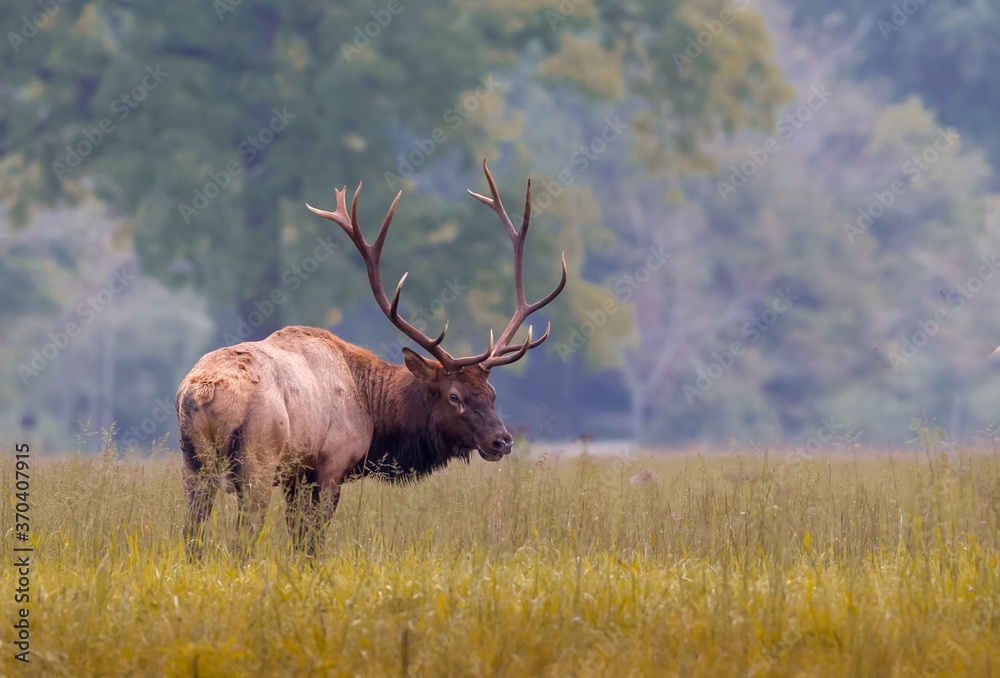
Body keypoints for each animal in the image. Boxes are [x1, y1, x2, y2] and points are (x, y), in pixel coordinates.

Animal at [175, 161, 566, 554]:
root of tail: (202, 391)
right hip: (257, 458)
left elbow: (298, 540)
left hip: (193, 463)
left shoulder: (296, 476)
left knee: (192, 532)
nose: (503, 441)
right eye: (454, 396)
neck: (372, 412)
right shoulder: (330, 465)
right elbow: (311, 542)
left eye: (492, 393)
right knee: (243, 536)